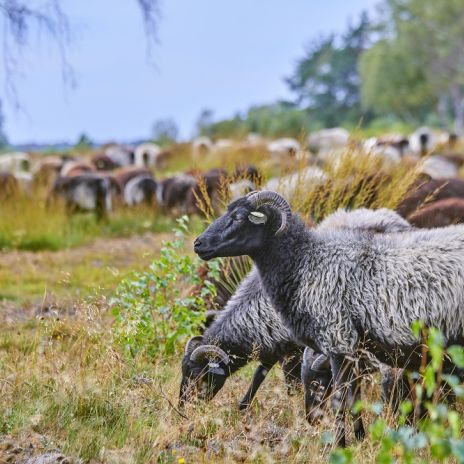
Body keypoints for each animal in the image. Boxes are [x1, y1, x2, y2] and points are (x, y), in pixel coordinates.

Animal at [179, 268, 302, 410]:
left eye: (197, 375)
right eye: (183, 371)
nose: (182, 407)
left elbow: (294, 381)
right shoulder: (274, 348)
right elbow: (259, 375)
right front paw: (243, 407)